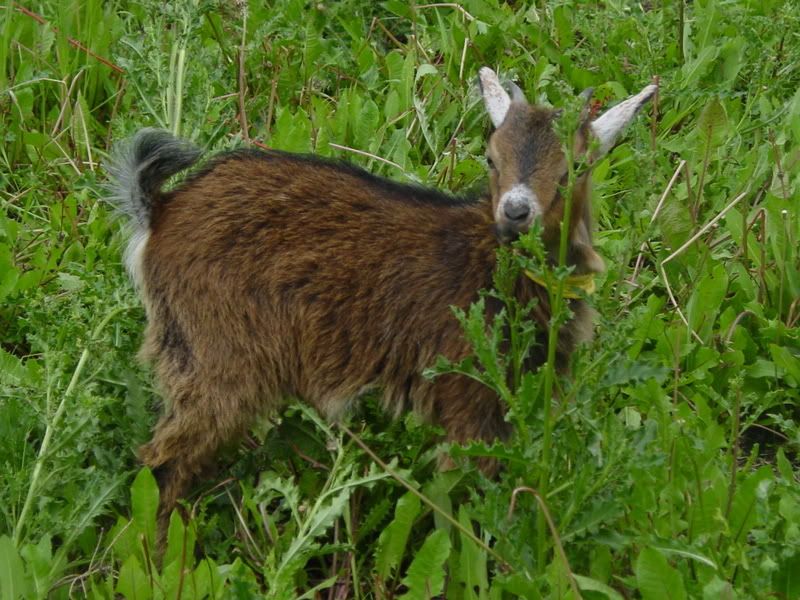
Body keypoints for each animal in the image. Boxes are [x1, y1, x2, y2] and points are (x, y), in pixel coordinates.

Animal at [109, 67, 656, 526]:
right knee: (163, 460)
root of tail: (159, 212)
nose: (515, 213)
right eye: (491, 156)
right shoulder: (469, 398)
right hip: (218, 354)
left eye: (574, 168)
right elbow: (463, 488)